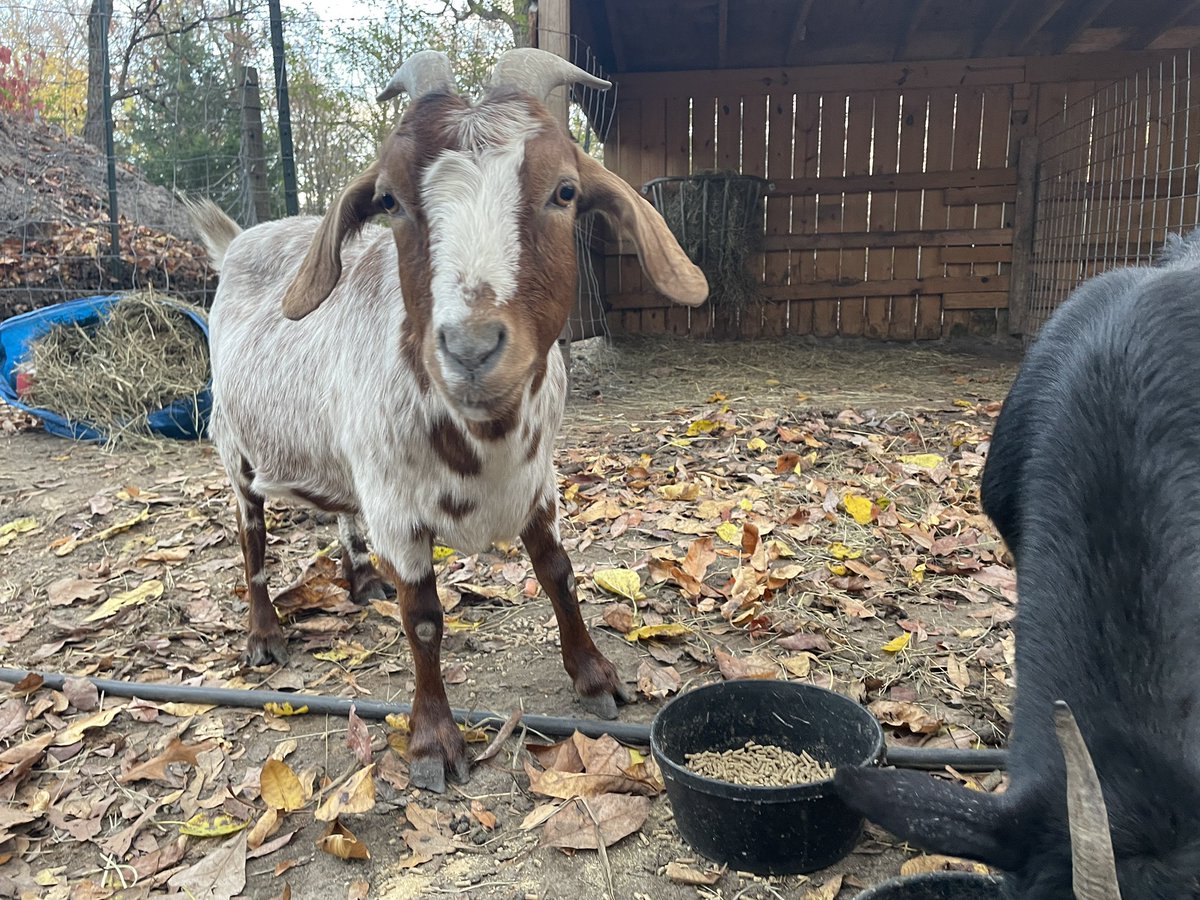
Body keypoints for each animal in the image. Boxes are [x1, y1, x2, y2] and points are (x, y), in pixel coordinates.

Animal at [187, 49, 707, 792]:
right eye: (390, 201)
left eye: (565, 191)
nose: (470, 349)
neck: (487, 439)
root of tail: (236, 243)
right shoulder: (399, 511)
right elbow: (425, 619)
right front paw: (434, 742)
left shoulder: (538, 483)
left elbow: (559, 572)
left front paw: (596, 676)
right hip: (235, 447)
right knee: (251, 537)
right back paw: (264, 635)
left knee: (339, 512)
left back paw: (360, 580)